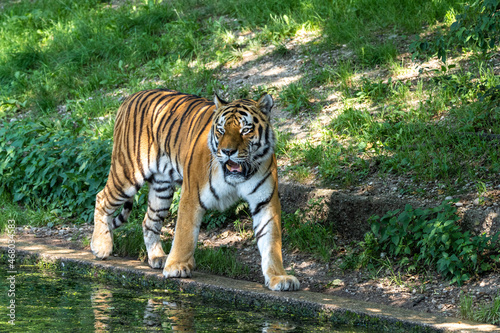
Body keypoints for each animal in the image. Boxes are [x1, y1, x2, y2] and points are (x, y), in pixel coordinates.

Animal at [90, 89, 300, 290]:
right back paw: (101, 246)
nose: (227, 151)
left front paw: (279, 277)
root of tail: (130, 97)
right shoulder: (191, 195)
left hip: (161, 189)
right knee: (101, 198)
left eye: (245, 130)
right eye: (221, 130)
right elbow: (185, 234)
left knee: (149, 221)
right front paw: (176, 266)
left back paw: (158, 257)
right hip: (128, 173)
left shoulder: (265, 202)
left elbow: (271, 242)